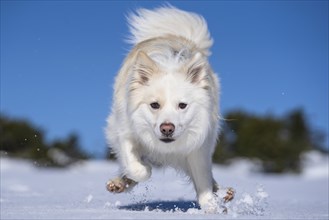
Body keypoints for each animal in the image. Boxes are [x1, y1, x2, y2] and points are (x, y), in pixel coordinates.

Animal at [105, 5, 233, 213]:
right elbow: (136, 167)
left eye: (182, 105)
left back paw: (224, 193)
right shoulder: (124, 131)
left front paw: (211, 206)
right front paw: (140, 171)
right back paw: (120, 183)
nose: (167, 128)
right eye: (154, 105)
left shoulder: (199, 146)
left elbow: (203, 178)